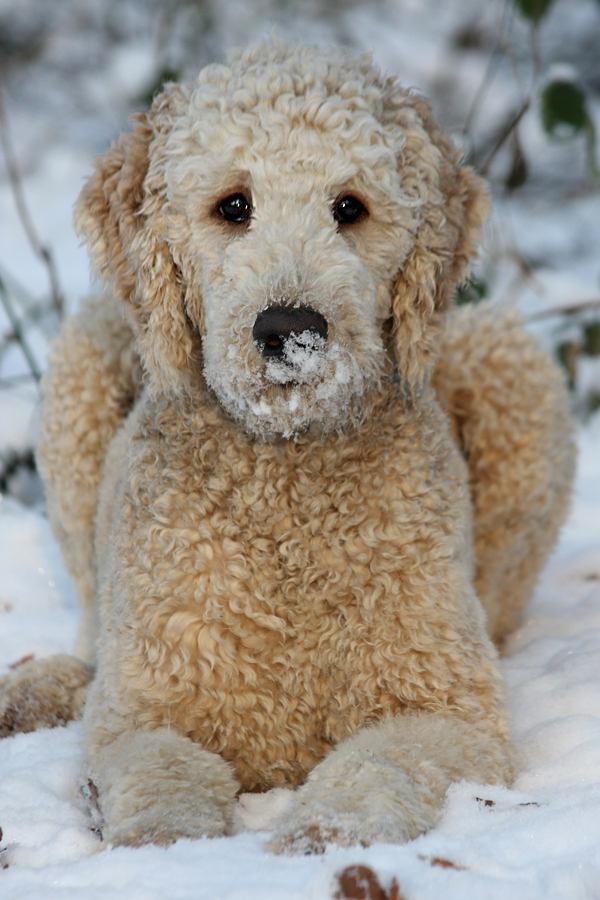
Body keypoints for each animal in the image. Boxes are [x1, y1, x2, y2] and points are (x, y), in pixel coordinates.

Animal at [0, 37, 576, 852]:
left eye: (350, 208)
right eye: (233, 205)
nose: (288, 330)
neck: (289, 480)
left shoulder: (451, 709)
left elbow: (378, 761)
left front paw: (326, 834)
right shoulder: (142, 715)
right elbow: (161, 778)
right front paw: (169, 851)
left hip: (510, 362)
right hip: (85, 359)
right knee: (89, 625)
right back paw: (40, 688)